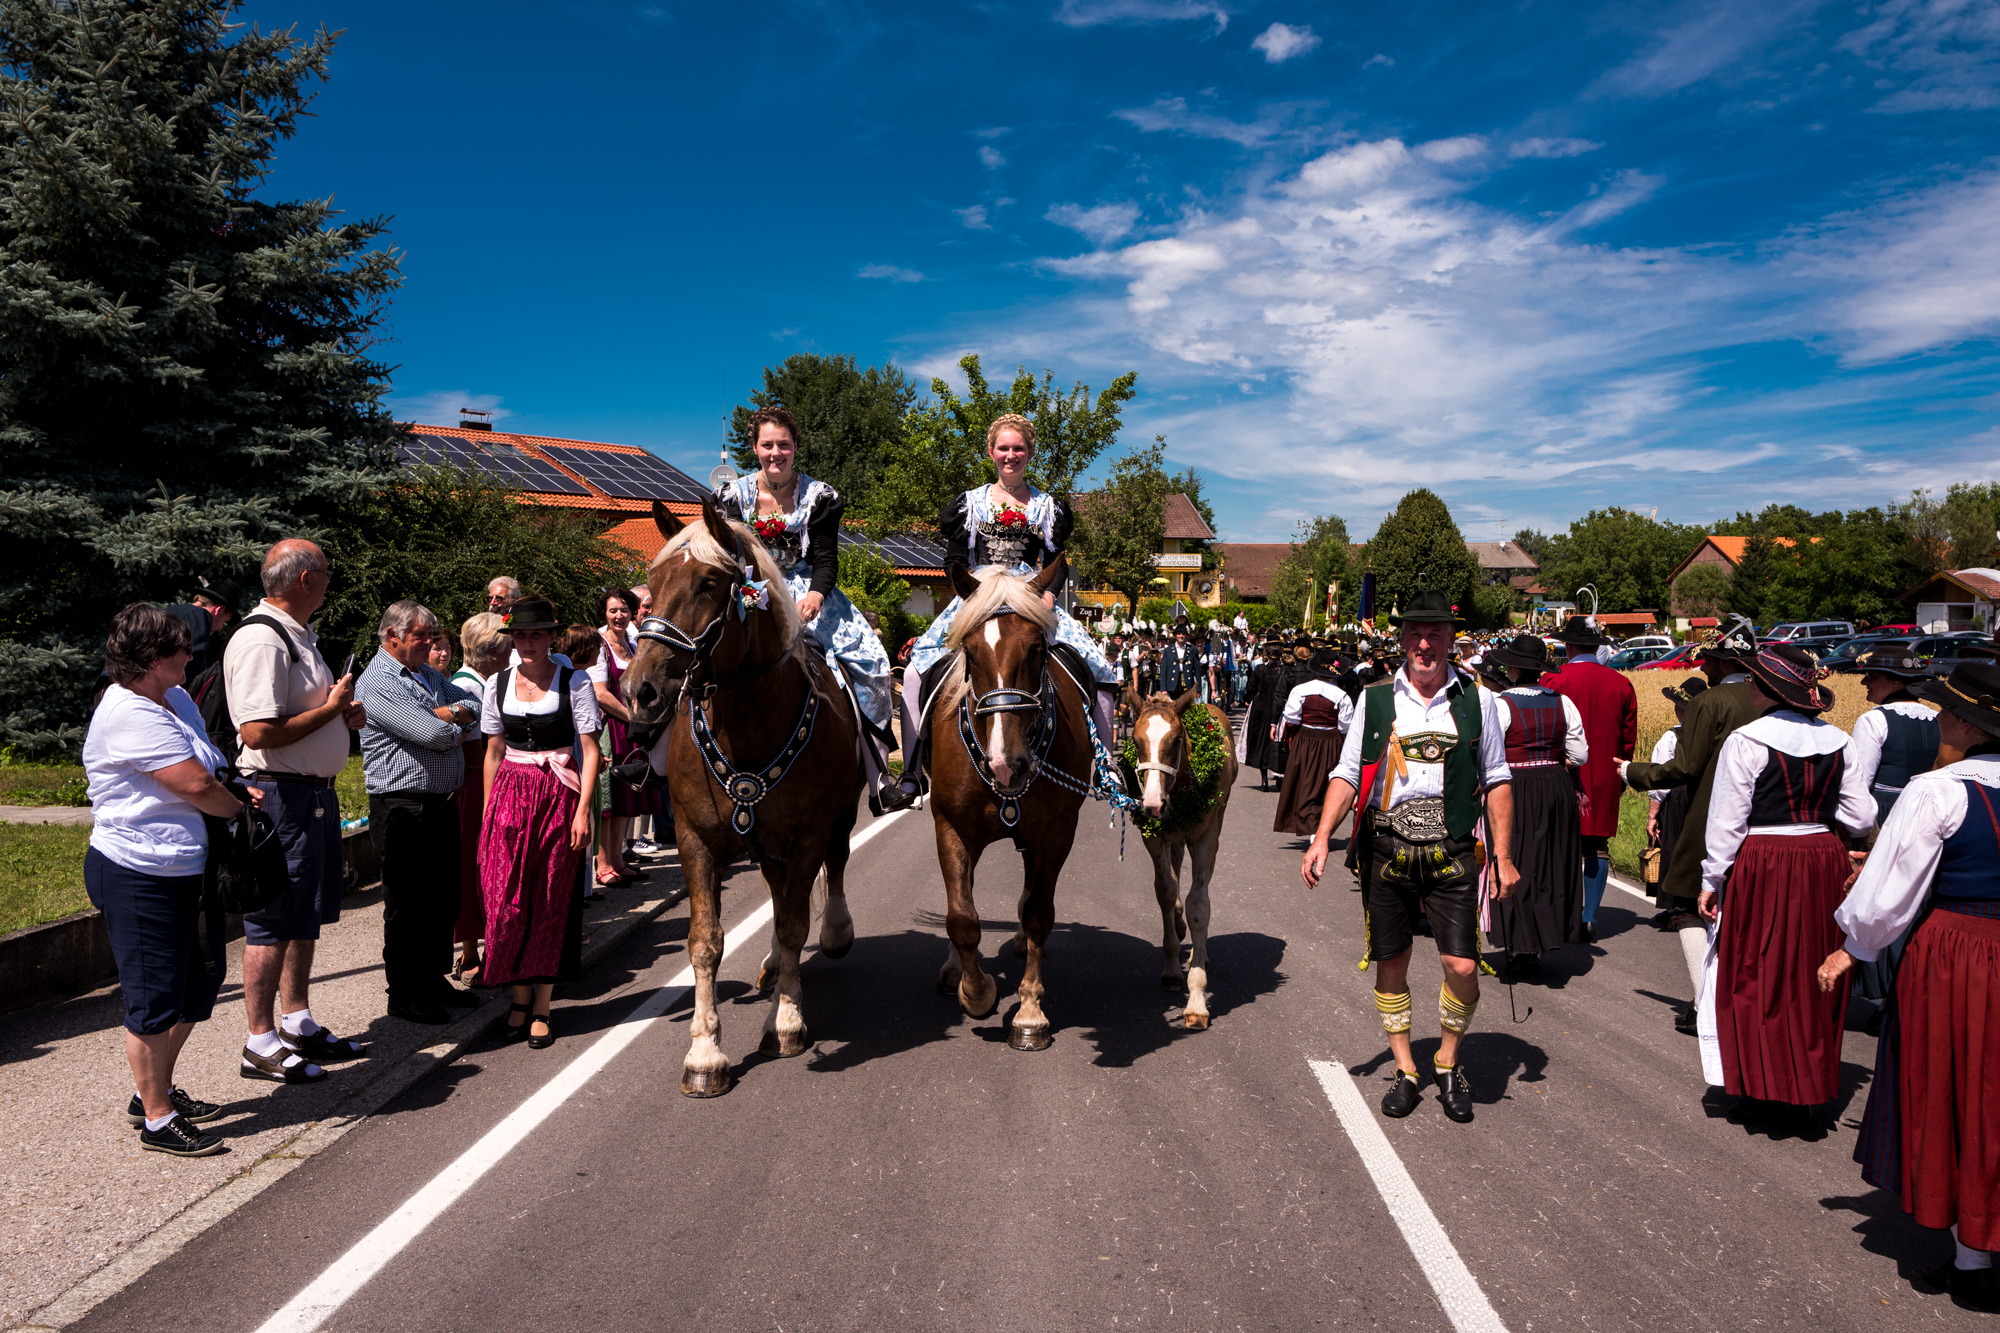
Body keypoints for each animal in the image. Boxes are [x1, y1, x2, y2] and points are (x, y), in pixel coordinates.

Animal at [623, 498, 863, 1097]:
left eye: (709, 583)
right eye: (650, 585)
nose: (640, 691)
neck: (748, 722)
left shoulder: (808, 834)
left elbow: (796, 921)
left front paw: (786, 1021)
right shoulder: (696, 841)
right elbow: (705, 941)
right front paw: (705, 1053)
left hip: (836, 817)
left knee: (833, 868)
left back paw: (833, 935)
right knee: (778, 895)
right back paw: (775, 968)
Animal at [924, 557, 1091, 1051]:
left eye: (1036, 650)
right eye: (971, 653)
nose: (1006, 764)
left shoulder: (1055, 833)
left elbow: (1038, 913)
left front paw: (1030, 1013)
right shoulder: (951, 827)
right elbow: (961, 916)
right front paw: (976, 992)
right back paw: (954, 970)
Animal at [1124, 687, 1238, 1029]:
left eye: (1176, 740)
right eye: (1135, 740)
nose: (1151, 803)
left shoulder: (1205, 838)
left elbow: (1199, 905)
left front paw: (1197, 1001)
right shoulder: (1154, 836)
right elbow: (1165, 891)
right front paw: (1172, 968)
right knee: (1174, 874)